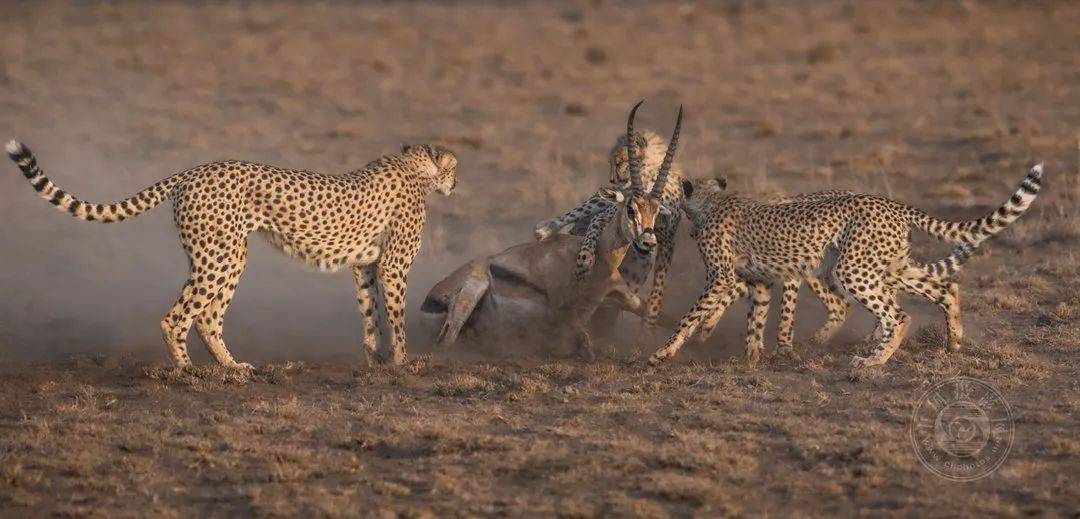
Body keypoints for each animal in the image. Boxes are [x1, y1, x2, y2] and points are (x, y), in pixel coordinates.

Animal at [7, 140, 455, 369]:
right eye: (453, 167)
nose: (455, 184)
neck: (413, 165)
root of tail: (194, 170)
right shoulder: (393, 267)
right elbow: (395, 317)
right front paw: (402, 363)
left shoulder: (364, 266)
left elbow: (371, 313)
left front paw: (377, 359)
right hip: (224, 254)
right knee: (180, 316)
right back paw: (187, 371)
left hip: (220, 255)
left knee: (206, 316)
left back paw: (231, 368)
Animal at [652, 164, 1041, 366]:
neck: (711, 202)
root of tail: (892, 203)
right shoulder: (758, 281)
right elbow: (756, 319)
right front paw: (751, 357)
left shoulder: (721, 277)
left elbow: (692, 314)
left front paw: (664, 351)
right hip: (887, 265)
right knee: (945, 286)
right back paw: (953, 342)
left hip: (852, 269)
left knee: (898, 314)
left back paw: (874, 360)